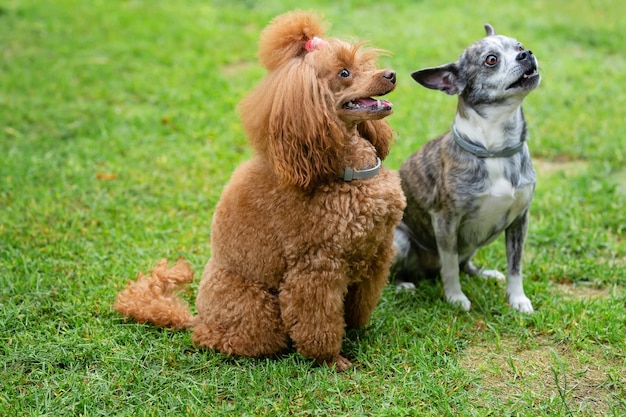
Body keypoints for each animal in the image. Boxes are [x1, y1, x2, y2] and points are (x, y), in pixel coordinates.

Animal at [392, 24, 540, 310]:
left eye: (518, 46)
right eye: (491, 60)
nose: (527, 53)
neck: (495, 151)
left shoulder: (520, 220)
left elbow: (515, 266)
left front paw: (517, 299)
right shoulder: (445, 222)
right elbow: (449, 265)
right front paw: (455, 297)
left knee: (465, 263)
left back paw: (482, 273)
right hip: (400, 241)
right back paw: (403, 285)